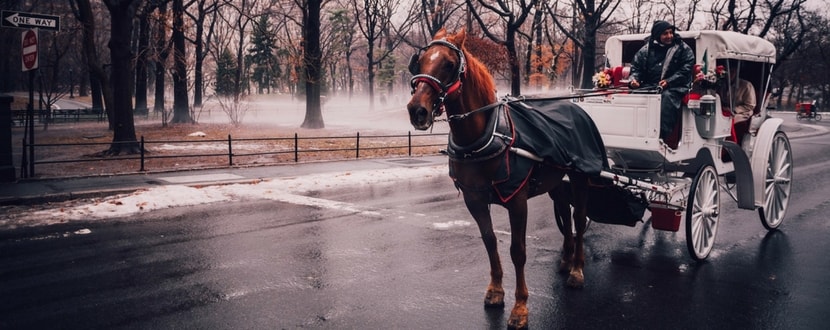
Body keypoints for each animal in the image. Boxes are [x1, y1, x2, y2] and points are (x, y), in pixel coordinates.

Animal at [406, 28, 600, 330]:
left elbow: (517, 251)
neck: (484, 136)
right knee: (564, 213)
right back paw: (566, 259)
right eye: (420, 60)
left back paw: (577, 269)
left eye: (449, 64)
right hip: (556, 181)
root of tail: (575, 108)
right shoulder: (474, 199)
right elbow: (489, 241)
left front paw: (520, 308)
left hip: (580, 176)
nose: (417, 110)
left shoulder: (517, 200)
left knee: (579, 218)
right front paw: (496, 290)